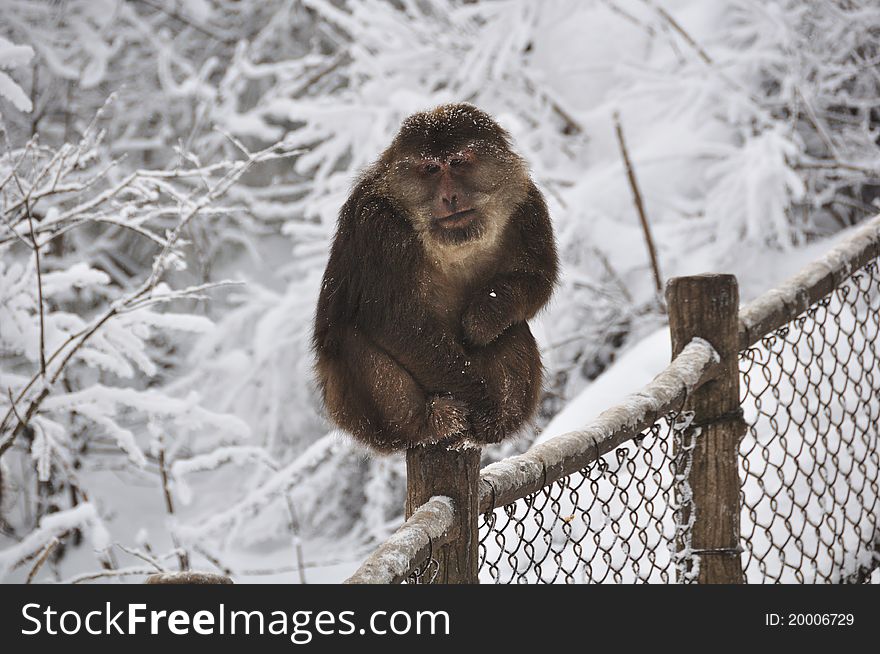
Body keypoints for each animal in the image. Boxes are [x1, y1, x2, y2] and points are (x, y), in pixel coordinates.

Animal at [312, 105, 560, 454]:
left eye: (457, 162)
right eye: (430, 169)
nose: (449, 196)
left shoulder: (528, 204)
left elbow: (536, 277)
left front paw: (483, 317)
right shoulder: (378, 227)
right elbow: (394, 321)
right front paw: (481, 402)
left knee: (512, 327)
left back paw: (498, 422)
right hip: (360, 417)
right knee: (351, 336)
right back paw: (429, 424)